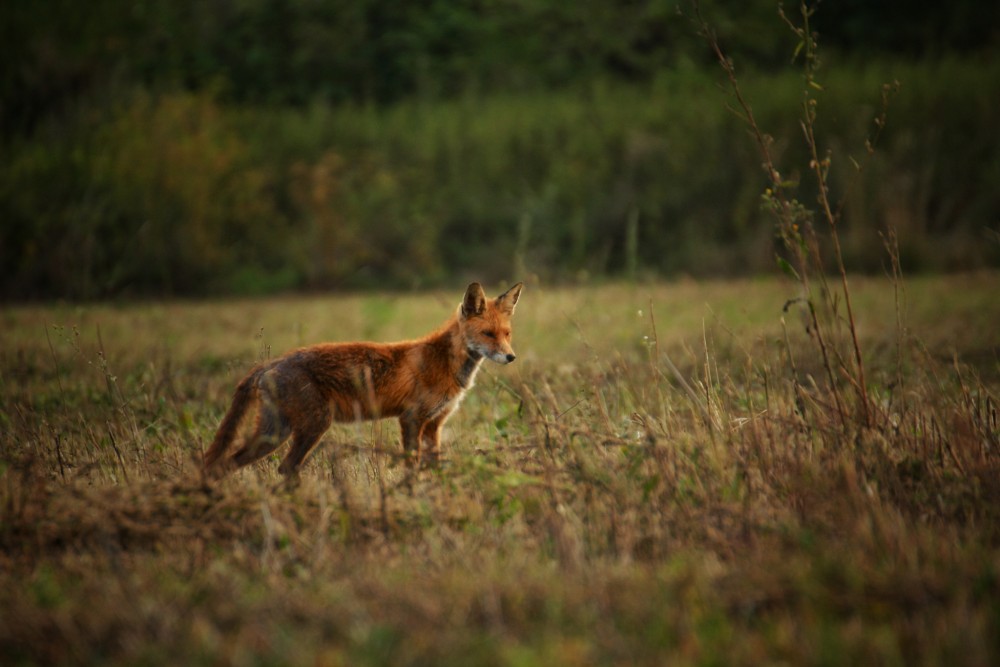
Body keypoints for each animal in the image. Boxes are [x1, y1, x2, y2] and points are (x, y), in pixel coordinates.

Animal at [208, 282, 528, 474]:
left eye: (507, 334)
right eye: (488, 334)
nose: (511, 357)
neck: (445, 363)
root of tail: (270, 363)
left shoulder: (434, 424)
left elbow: (433, 467)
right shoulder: (411, 418)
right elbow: (412, 467)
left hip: (275, 432)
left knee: (227, 464)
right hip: (311, 425)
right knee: (283, 468)